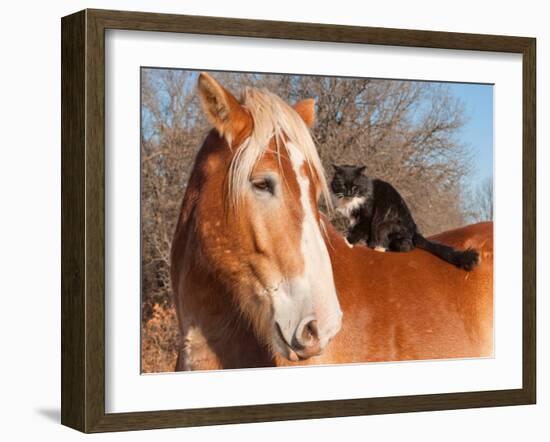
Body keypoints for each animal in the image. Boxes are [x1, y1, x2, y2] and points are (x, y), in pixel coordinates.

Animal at [330, 164, 480, 272]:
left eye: (355, 186)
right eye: (343, 185)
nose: (349, 193)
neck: (350, 202)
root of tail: (415, 231)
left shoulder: (366, 217)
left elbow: (356, 232)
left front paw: (346, 242)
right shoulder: (353, 219)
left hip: (384, 225)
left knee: (404, 247)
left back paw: (380, 248)